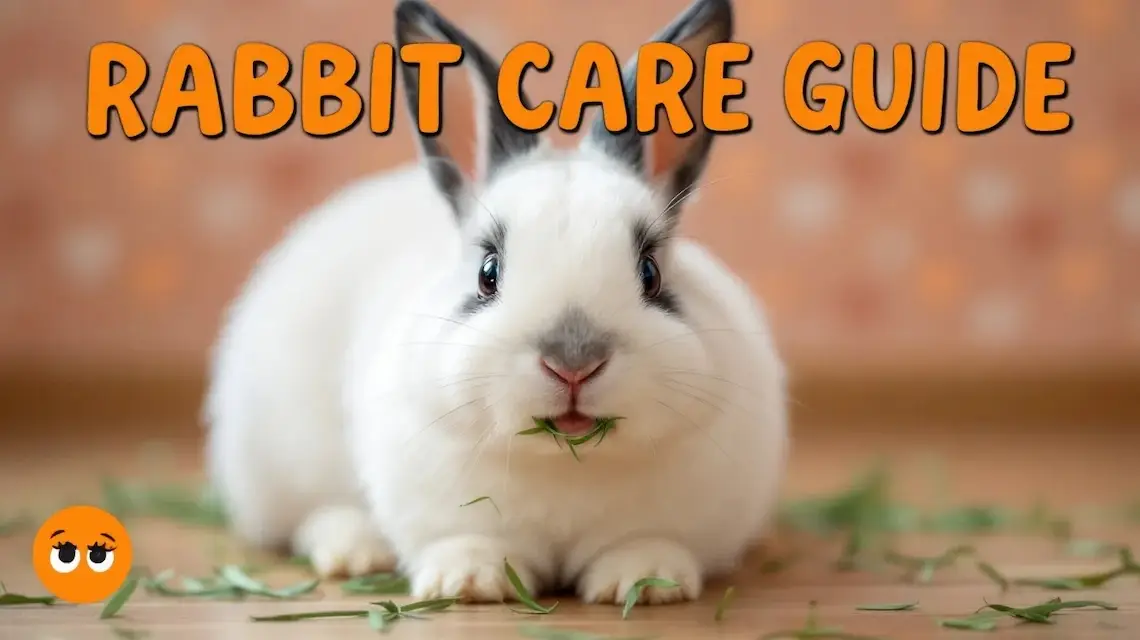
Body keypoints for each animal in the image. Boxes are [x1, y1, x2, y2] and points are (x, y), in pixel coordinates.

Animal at [204, 0, 788, 606]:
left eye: (650, 272)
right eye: (489, 272)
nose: (573, 361)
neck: (567, 462)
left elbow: (646, 541)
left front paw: (643, 582)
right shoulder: (445, 508)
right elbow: (468, 539)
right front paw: (469, 581)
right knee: (312, 515)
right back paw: (355, 550)